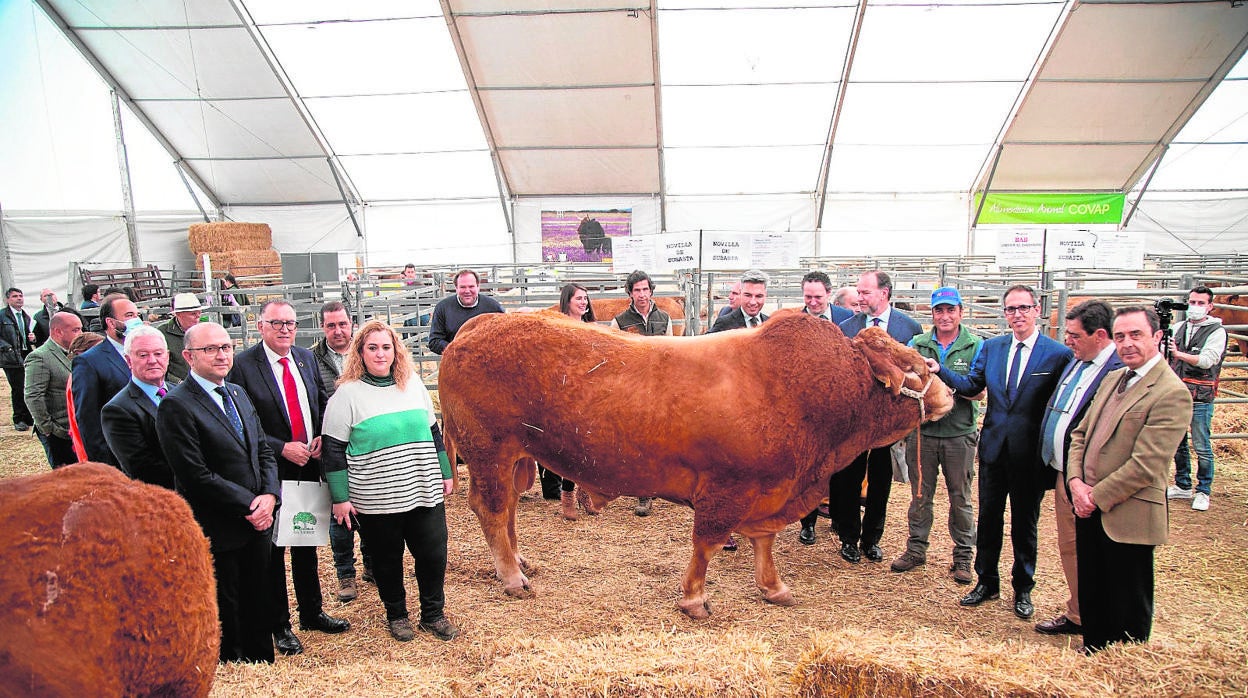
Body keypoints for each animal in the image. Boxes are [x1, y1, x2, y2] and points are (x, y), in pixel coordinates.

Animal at [441, 308, 953, 619]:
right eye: (916, 370)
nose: (949, 393)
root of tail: (481, 323)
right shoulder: (727, 489)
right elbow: (706, 543)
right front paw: (694, 599)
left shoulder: (768, 489)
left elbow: (764, 542)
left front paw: (773, 587)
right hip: (488, 452)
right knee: (491, 509)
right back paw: (512, 577)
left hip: (515, 457)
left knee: (507, 509)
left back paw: (520, 561)